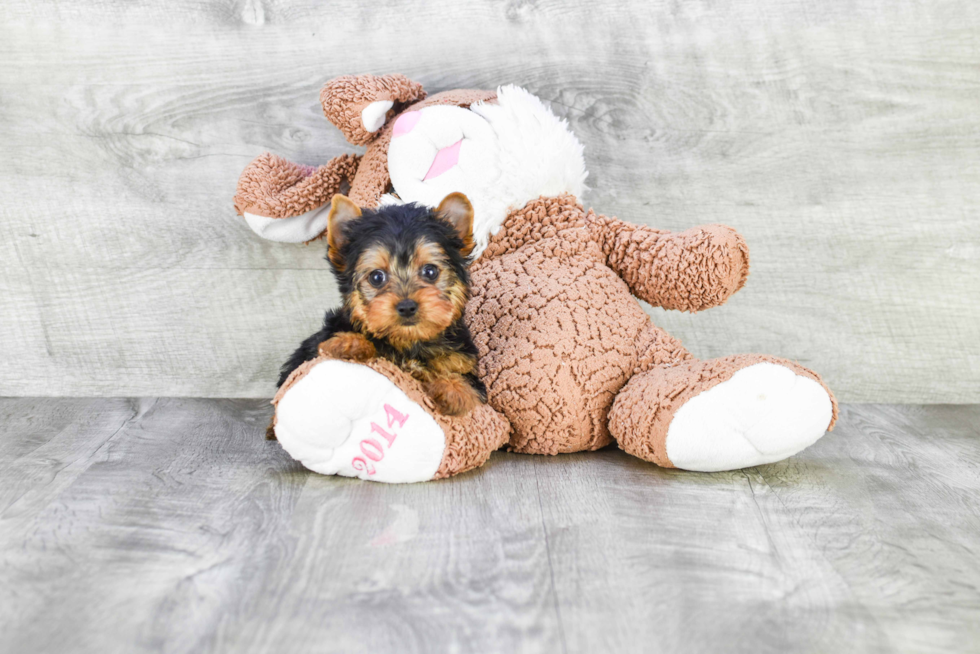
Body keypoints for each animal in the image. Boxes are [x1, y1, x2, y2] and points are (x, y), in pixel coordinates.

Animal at [274, 190, 488, 426]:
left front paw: (453, 391)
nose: (406, 307)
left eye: (430, 271)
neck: (408, 343)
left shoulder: (463, 362)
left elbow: (470, 385)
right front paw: (350, 344)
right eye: (377, 277)